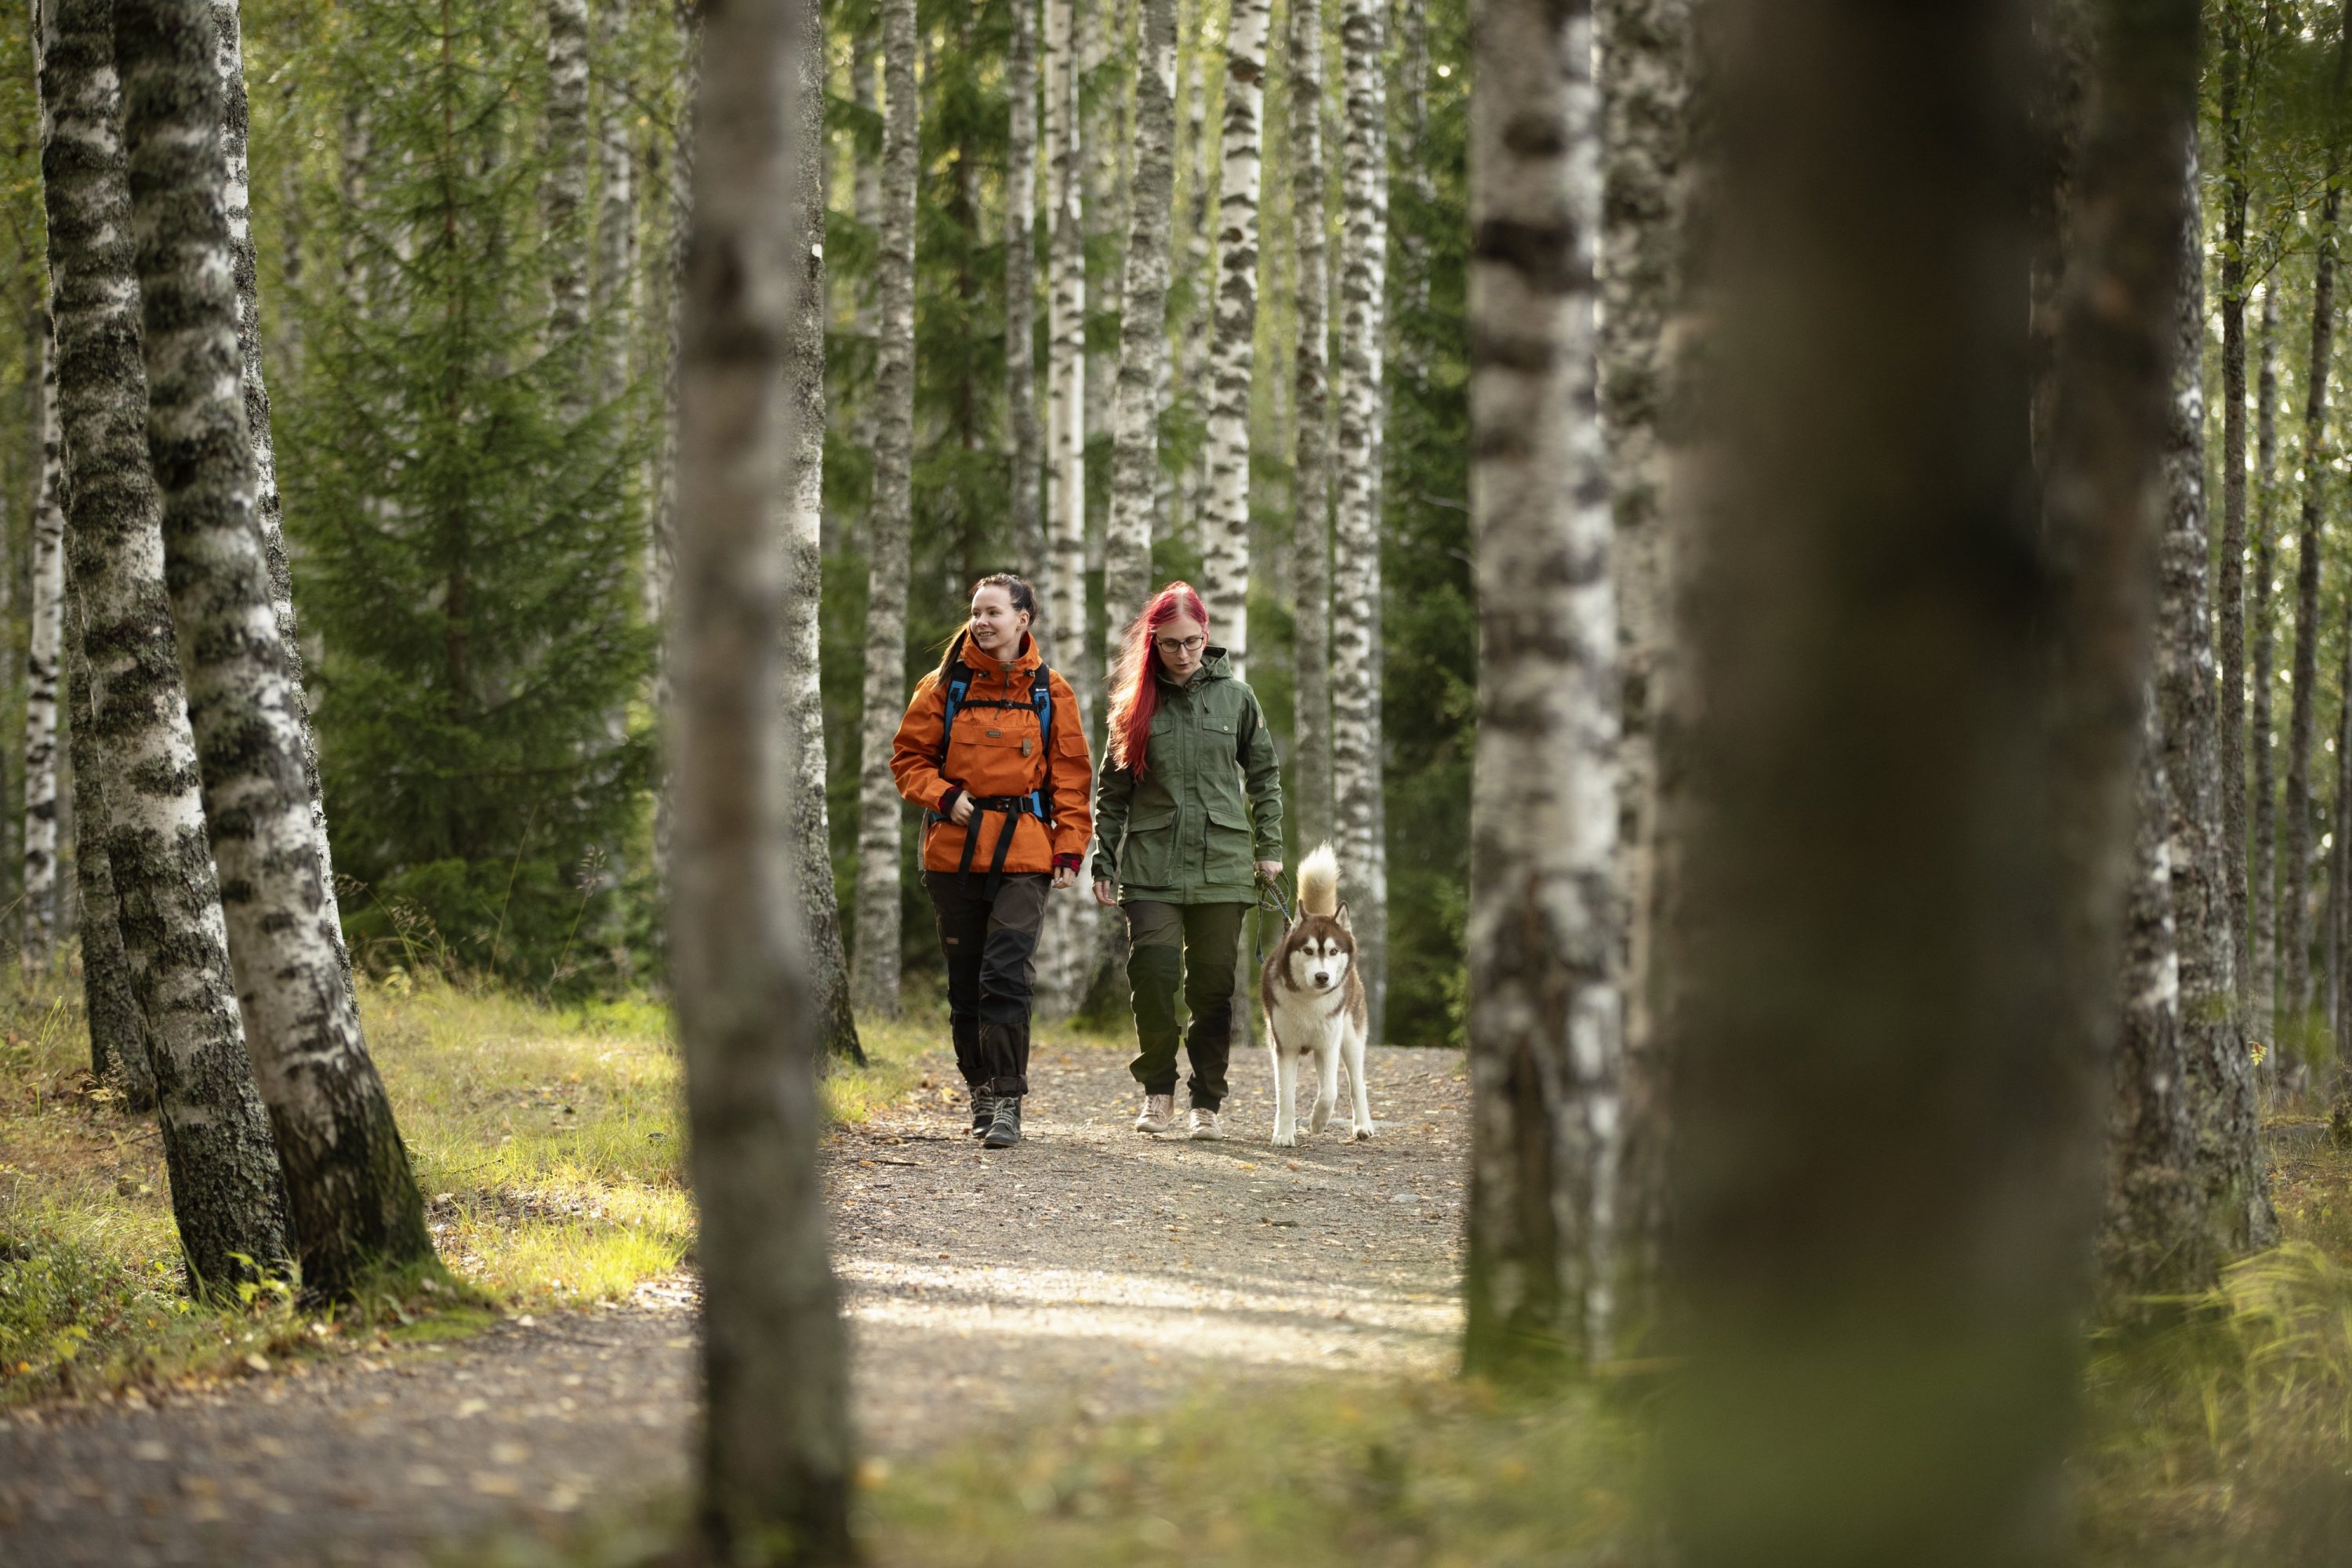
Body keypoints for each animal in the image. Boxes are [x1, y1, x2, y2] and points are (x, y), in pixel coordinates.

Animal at [1261, 846, 1374, 1152]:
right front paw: (1284, 1134)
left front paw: (1317, 1122)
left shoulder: (1328, 1046)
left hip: (1351, 1037)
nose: (1322, 977)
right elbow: (1285, 1096)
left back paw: (1363, 1126)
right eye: (1308, 950)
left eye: (1333, 951)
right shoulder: (1284, 1048)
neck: (1310, 1002)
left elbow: (1330, 1093)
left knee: (1356, 1084)